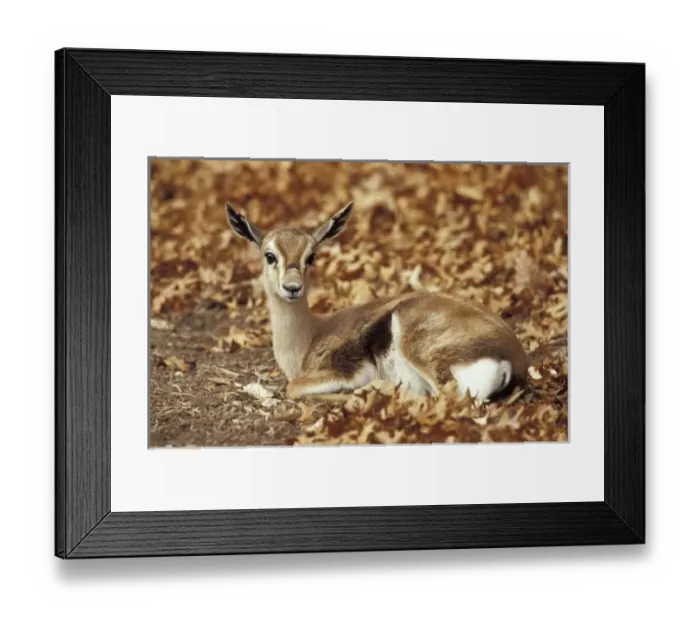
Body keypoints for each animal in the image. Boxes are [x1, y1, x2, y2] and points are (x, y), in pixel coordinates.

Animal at [225, 201, 527, 402]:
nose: (292, 288)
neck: (308, 340)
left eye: (311, 256)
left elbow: (294, 388)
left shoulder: (347, 370)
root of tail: (513, 358)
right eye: (270, 255)